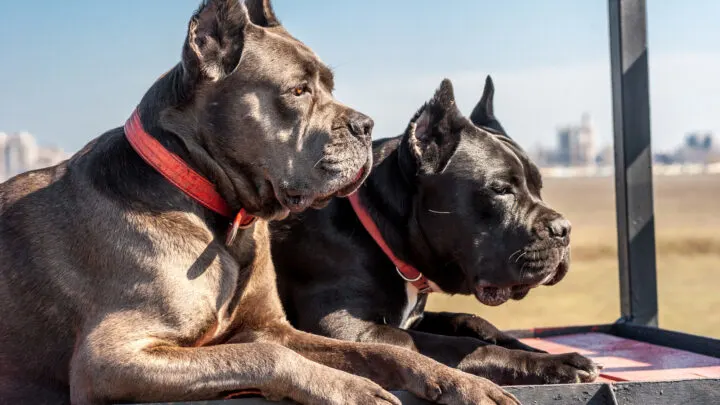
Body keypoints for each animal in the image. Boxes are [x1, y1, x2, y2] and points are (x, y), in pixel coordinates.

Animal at [0, 0, 516, 404]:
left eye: (329, 85)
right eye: (298, 90)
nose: (366, 126)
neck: (215, 214)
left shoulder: (276, 325)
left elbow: (381, 349)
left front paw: (462, 382)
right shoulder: (110, 358)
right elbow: (263, 353)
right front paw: (350, 388)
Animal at [272, 77, 600, 384]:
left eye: (539, 187)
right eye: (501, 190)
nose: (564, 229)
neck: (378, 227)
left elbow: (471, 321)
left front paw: (539, 352)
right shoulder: (346, 331)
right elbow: (455, 346)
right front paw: (552, 364)